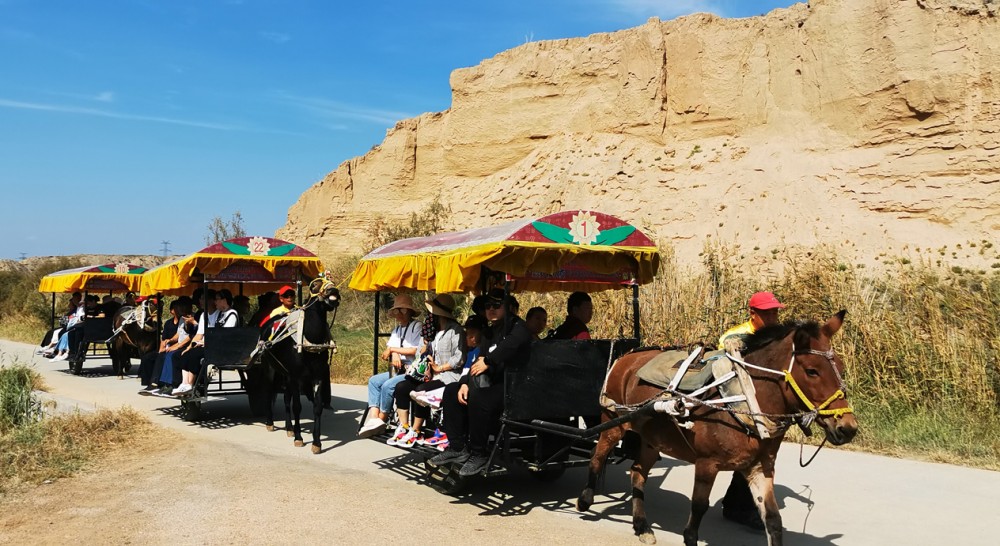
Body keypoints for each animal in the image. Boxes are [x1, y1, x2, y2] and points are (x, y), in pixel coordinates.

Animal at [256, 278, 342, 452]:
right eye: (315, 285)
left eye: (332, 281)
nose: (333, 291)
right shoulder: (297, 378)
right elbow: (297, 406)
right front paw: (299, 437)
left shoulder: (317, 376)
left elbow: (317, 407)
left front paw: (316, 442)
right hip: (270, 369)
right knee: (269, 392)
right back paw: (270, 422)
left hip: (285, 375)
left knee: (286, 398)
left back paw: (289, 427)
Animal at [580, 310, 860, 544]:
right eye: (812, 371)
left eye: (840, 367)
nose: (848, 427)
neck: (744, 396)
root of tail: (627, 355)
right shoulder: (707, 464)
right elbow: (696, 515)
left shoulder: (760, 467)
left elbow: (773, 520)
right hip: (613, 422)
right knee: (597, 455)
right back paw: (585, 500)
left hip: (652, 438)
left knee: (638, 472)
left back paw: (641, 526)